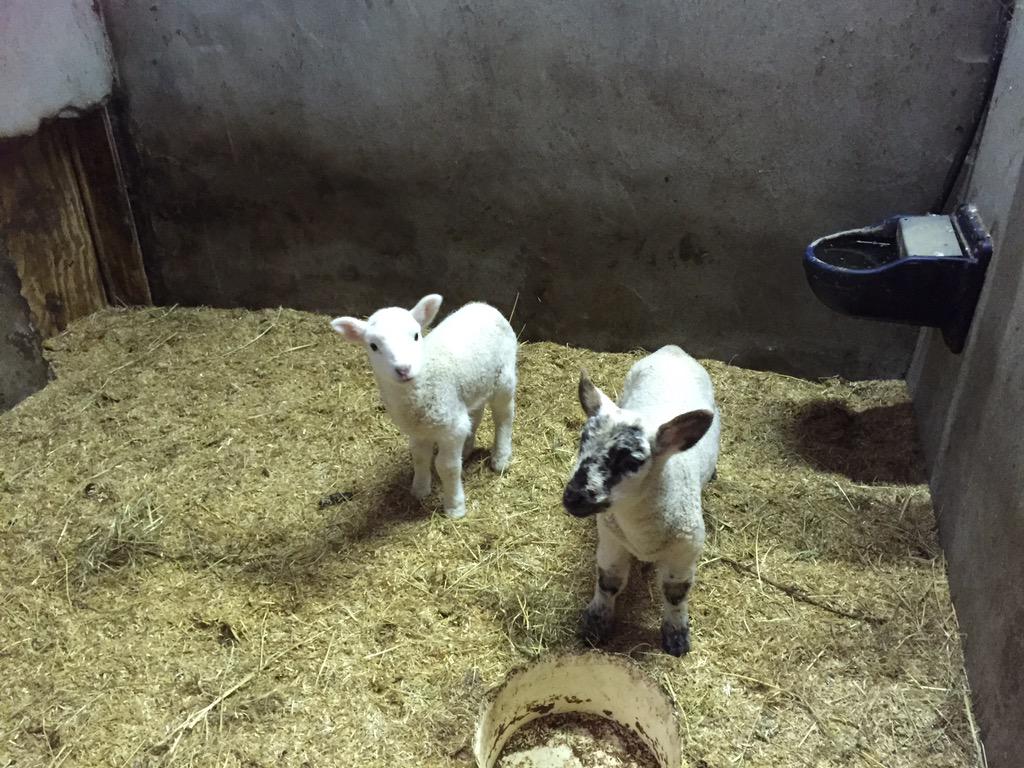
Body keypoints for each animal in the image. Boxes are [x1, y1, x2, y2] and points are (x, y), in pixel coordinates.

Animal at [330, 294, 517, 519]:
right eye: (373, 346)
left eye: (416, 335)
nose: (403, 369)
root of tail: (483, 306)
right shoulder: (418, 429)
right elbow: (419, 458)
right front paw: (419, 489)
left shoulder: (451, 428)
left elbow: (446, 466)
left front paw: (454, 507)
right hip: (473, 387)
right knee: (475, 414)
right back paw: (466, 449)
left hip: (504, 377)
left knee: (503, 416)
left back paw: (501, 458)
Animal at [561, 345, 720, 656]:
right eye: (582, 440)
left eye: (632, 461)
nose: (573, 497)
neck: (641, 533)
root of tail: (674, 350)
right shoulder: (611, 539)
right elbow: (608, 582)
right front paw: (595, 624)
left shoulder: (686, 550)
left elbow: (676, 593)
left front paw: (677, 637)